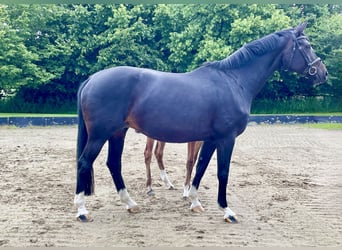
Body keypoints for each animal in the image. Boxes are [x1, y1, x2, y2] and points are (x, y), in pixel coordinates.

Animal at [74, 23, 326, 223]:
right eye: (306, 45)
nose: (322, 73)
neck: (234, 81)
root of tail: (92, 79)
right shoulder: (226, 139)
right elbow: (222, 172)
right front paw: (227, 210)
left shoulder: (210, 139)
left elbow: (201, 167)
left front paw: (194, 202)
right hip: (100, 134)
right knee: (84, 162)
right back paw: (82, 211)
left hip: (118, 132)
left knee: (113, 164)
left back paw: (130, 204)